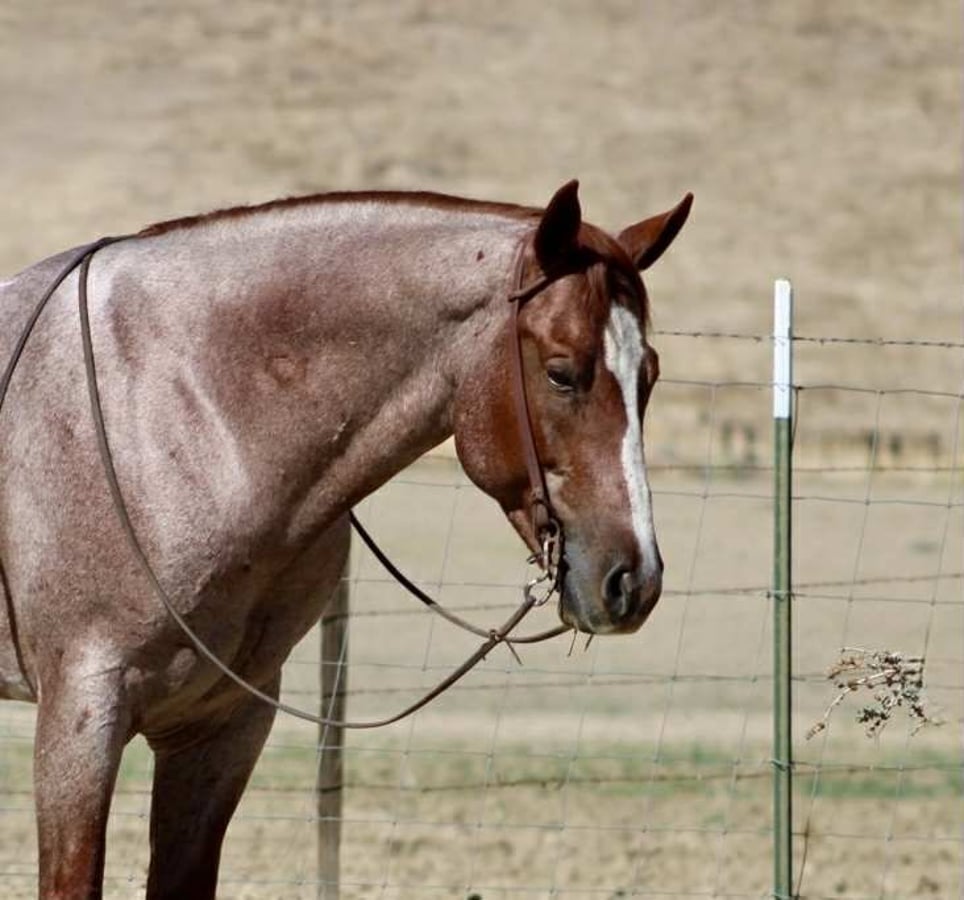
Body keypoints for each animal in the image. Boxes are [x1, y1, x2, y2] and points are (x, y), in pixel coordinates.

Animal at [0, 179, 691, 899]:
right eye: (561, 373)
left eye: (648, 375)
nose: (633, 579)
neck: (176, 410)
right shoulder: (80, 724)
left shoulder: (221, 726)